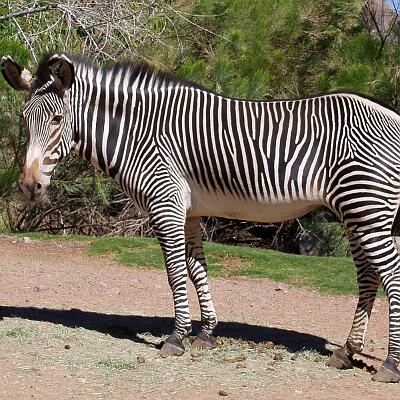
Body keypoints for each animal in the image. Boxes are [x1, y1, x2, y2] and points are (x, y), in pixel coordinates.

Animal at [2, 53, 400, 383]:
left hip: (366, 206)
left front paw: (176, 337)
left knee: (390, 275)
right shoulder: (189, 211)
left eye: (57, 119)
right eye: (23, 120)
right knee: (368, 276)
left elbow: (175, 273)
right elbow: (197, 270)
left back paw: (390, 365)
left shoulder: (165, 204)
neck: (140, 133)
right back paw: (346, 352)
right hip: (356, 211)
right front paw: (206, 332)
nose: (29, 187)